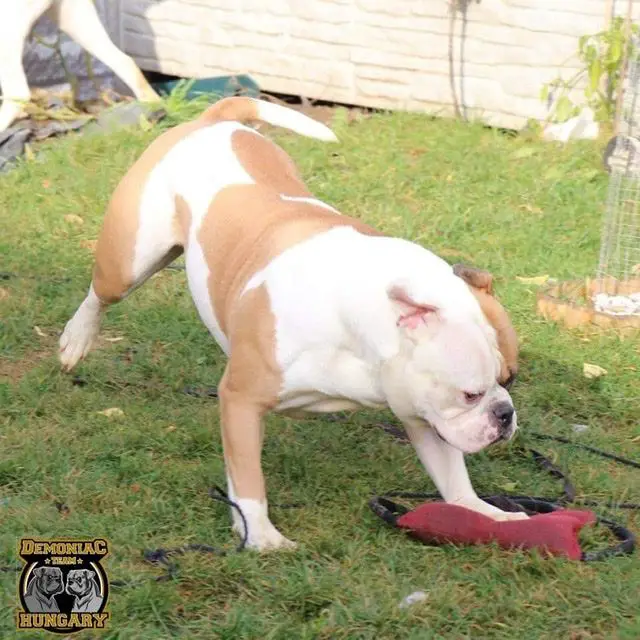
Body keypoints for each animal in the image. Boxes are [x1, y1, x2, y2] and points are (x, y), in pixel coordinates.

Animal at [59, 96, 524, 551]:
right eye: (470, 394)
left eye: (510, 380)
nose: (505, 414)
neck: (360, 324)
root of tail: (214, 121)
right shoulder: (241, 400)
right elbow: (248, 479)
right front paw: (262, 535)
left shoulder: (420, 411)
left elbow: (453, 478)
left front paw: (484, 514)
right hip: (130, 259)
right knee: (100, 294)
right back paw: (75, 341)